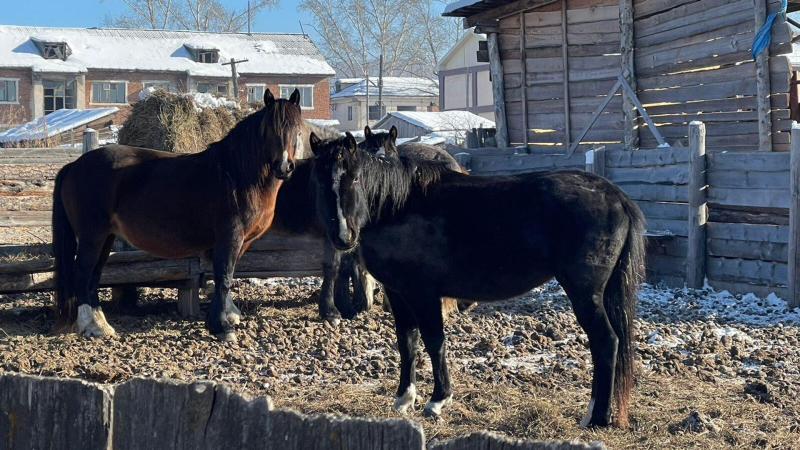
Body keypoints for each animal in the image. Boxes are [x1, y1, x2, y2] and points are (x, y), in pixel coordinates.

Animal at [310, 135, 648, 428]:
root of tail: (616, 197)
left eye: (355, 178)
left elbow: (434, 342)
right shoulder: (398, 294)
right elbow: (407, 343)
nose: (343, 237)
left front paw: (437, 401)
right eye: (319, 181)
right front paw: (404, 398)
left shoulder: (422, 294)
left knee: (606, 342)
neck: (397, 205)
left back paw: (598, 418)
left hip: (584, 293)